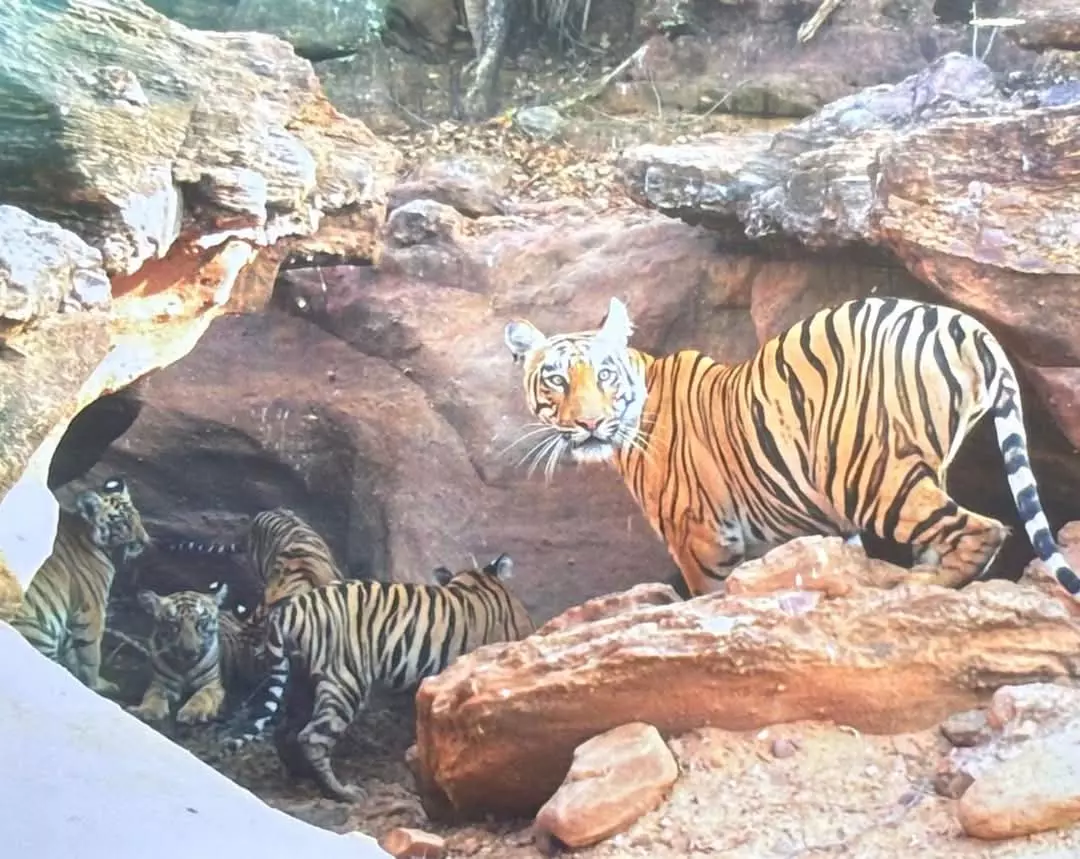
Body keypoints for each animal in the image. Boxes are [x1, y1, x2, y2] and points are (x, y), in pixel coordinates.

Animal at [10, 476, 151, 694]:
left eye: (137, 517)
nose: (144, 541)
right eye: (122, 523)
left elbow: (74, 651)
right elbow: (91, 655)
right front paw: (97, 685)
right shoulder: (91, 610)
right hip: (36, 631)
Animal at [224, 553, 535, 802]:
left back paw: (301, 777)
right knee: (312, 737)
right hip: (346, 683)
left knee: (284, 731)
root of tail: (290, 608)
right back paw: (343, 792)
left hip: (302, 682)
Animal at [503, 295, 1080, 600]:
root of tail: (960, 321)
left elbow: (710, 596)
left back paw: (921, 585)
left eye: (603, 374)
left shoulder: (700, 537)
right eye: (555, 379)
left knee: (985, 529)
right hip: (913, 467)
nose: (590, 422)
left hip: (867, 476)